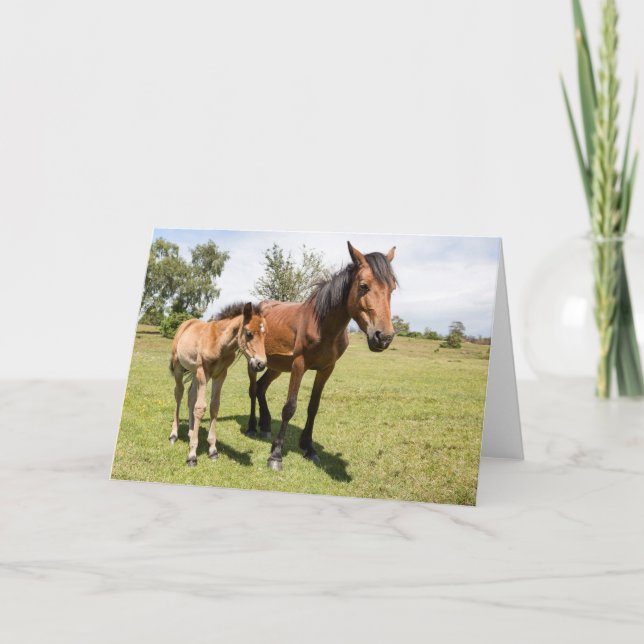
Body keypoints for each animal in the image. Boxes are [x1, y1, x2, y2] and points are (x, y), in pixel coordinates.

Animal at [169, 301, 267, 467]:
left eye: (265, 334)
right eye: (249, 333)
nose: (261, 364)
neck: (220, 344)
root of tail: (186, 324)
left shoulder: (220, 375)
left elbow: (214, 407)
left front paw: (213, 450)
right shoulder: (203, 372)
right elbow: (200, 408)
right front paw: (192, 455)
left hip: (195, 372)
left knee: (190, 395)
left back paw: (191, 431)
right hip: (179, 368)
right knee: (179, 394)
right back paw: (174, 435)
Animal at [246, 242, 397, 471]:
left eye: (392, 288)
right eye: (363, 286)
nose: (384, 337)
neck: (323, 326)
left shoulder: (326, 369)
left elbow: (313, 407)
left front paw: (309, 448)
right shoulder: (299, 365)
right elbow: (289, 407)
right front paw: (276, 455)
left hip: (275, 366)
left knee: (261, 388)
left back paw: (264, 426)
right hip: (253, 362)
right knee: (253, 389)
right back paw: (252, 427)